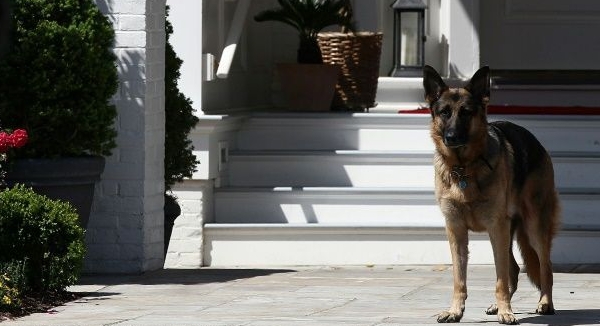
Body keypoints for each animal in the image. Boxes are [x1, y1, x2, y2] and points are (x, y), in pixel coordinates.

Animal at [424, 65, 560, 324]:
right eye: (444, 113)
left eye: (466, 113)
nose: (451, 137)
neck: (463, 167)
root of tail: (535, 141)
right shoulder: (456, 230)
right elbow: (459, 279)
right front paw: (455, 311)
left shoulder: (497, 227)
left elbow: (500, 279)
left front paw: (506, 312)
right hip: (506, 232)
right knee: (514, 269)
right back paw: (499, 306)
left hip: (532, 228)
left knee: (544, 266)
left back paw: (545, 303)